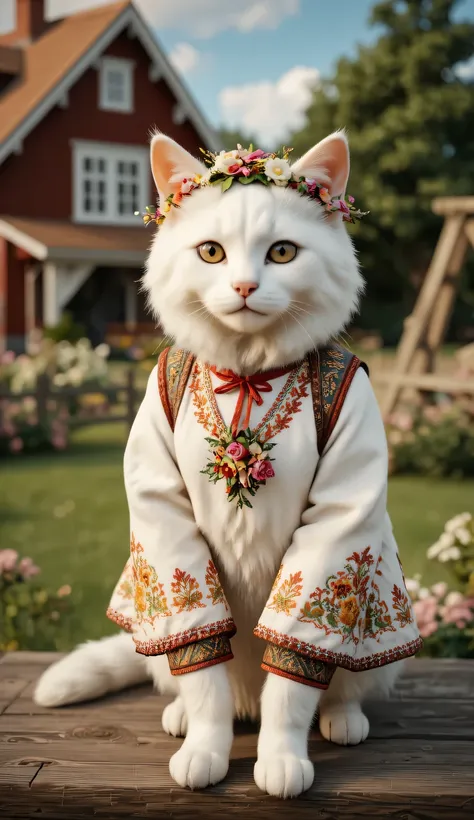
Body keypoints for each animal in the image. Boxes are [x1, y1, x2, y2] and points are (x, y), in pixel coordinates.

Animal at [34, 131, 412, 796]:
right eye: (211, 253)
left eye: (282, 253)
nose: (242, 287)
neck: (247, 372)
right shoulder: (169, 531)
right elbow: (205, 676)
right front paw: (206, 748)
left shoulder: (334, 528)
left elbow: (291, 685)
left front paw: (281, 758)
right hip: (154, 629)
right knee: (193, 683)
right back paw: (184, 718)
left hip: (369, 629)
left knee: (340, 682)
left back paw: (343, 720)